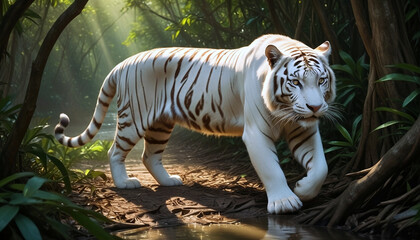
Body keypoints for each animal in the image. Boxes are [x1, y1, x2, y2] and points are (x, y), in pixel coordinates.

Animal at [56, 34, 338, 213]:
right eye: (296, 82)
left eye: (321, 80)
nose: (315, 107)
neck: (286, 111)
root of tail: (122, 64)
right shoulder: (257, 132)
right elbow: (271, 168)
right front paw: (284, 202)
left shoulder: (303, 130)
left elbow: (321, 167)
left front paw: (303, 188)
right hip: (134, 117)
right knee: (115, 151)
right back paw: (125, 183)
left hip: (160, 124)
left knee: (150, 155)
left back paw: (169, 181)